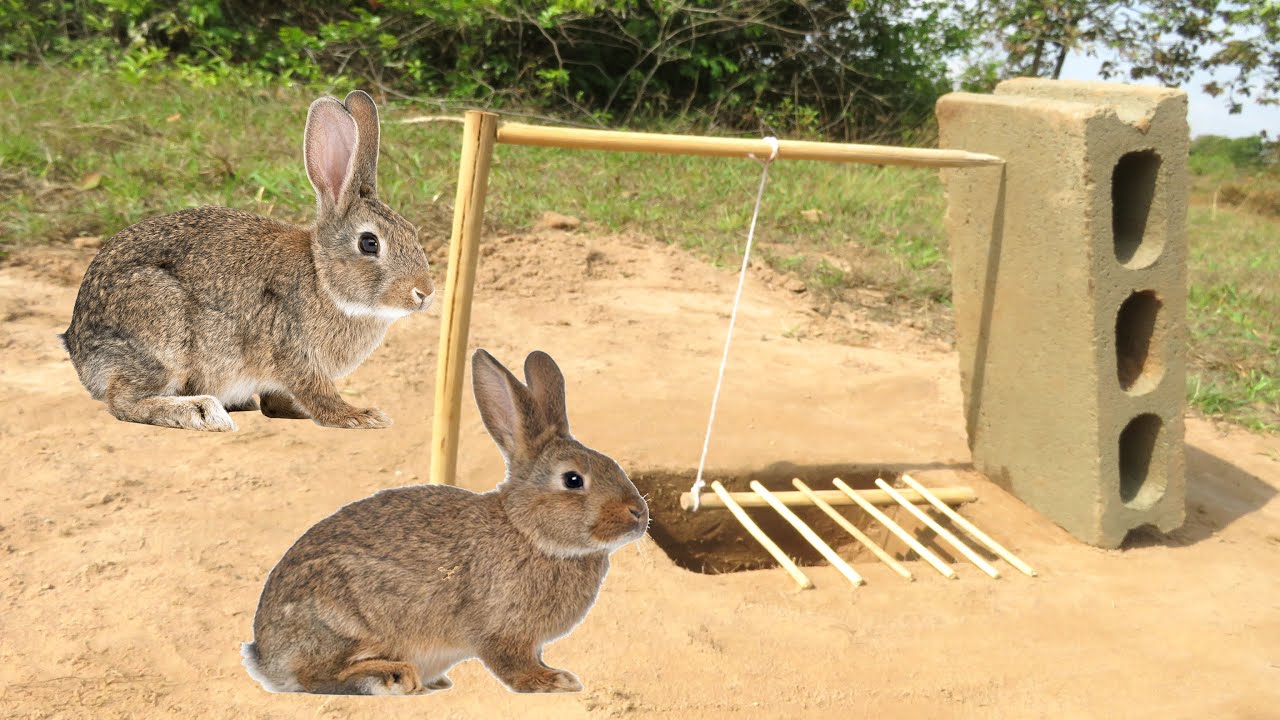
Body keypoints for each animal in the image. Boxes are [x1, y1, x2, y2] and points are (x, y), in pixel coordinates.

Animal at [59, 90, 432, 432]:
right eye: (369, 243)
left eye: (412, 231)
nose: (424, 293)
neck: (322, 280)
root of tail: (77, 345)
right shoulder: (295, 354)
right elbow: (318, 396)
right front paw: (361, 416)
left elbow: (278, 401)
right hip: (161, 331)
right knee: (124, 401)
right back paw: (201, 412)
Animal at [241, 349, 650, 695]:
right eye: (573, 480)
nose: (639, 514)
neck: (528, 532)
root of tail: (265, 654)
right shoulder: (502, 632)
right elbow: (512, 666)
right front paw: (553, 681)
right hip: (344, 621)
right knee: (314, 677)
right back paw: (392, 676)